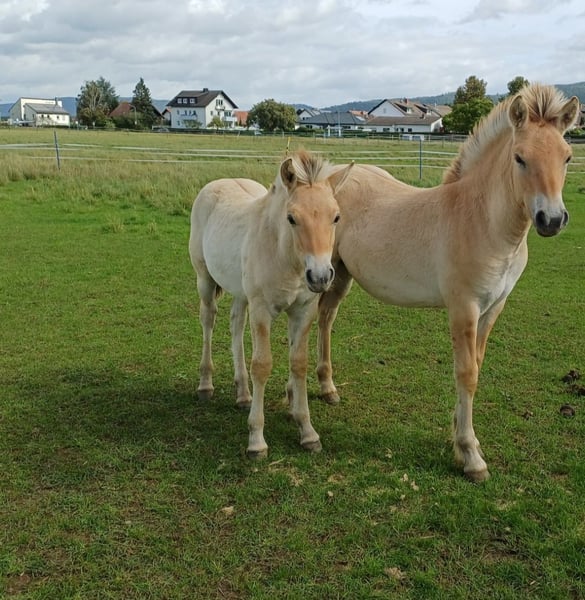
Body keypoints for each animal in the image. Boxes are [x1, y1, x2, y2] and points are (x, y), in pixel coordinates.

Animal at [189, 151, 354, 458]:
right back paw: (206, 385)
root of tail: (217, 183)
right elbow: (262, 365)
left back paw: (243, 393)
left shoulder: (303, 311)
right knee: (208, 321)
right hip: (205, 280)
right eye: (291, 218)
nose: (320, 276)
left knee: (235, 325)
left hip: (241, 293)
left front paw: (308, 432)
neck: (283, 255)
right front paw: (256, 440)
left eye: (336, 217)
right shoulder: (262, 310)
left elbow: (298, 364)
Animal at [316, 83, 580, 482]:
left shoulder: (493, 307)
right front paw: (471, 456)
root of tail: (330, 178)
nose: (551, 219)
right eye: (519, 158)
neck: (483, 222)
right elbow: (467, 373)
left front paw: (459, 438)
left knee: (326, 318)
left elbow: (477, 366)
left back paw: (328, 388)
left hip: (341, 276)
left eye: (566, 157)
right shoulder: (463, 308)